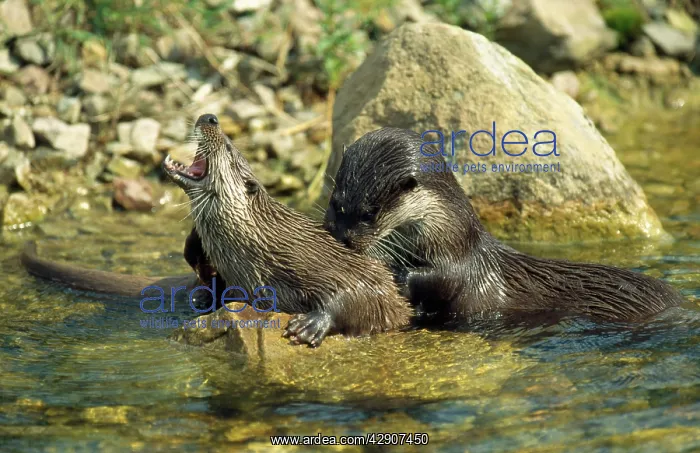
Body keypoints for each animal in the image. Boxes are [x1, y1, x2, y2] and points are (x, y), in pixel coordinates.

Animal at [323, 127, 685, 323]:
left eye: (370, 212)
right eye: (335, 200)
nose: (343, 237)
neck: (449, 237)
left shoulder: (460, 262)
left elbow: (444, 280)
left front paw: (397, 272)